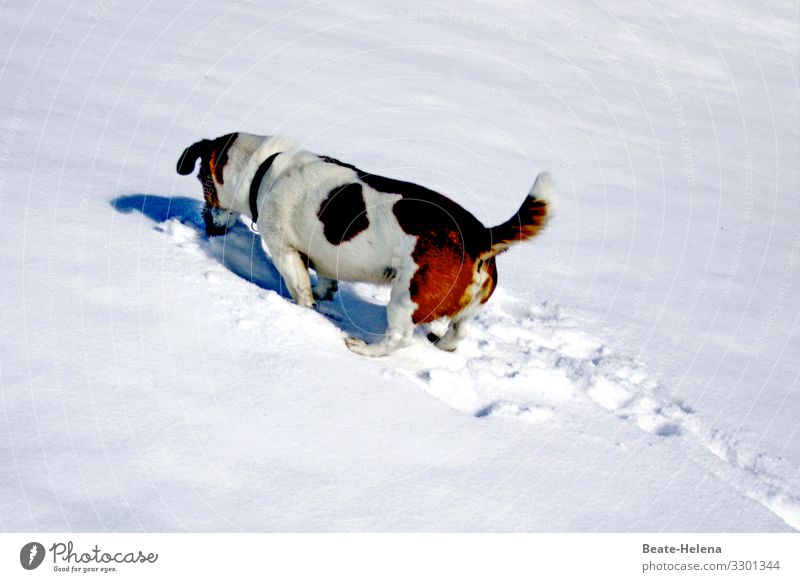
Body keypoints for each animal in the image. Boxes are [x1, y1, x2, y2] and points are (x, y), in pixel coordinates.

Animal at [177, 134, 552, 358]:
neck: (264, 168)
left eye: (202, 182)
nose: (205, 222)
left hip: (405, 298)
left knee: (399, 338)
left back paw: (363, 349)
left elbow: (301, 291)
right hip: (467, 309)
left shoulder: (284, 250)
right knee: (458, 333)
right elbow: (325, 281)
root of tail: (479, 234)